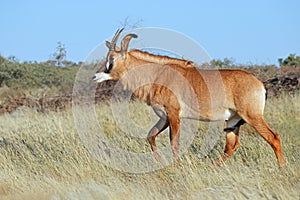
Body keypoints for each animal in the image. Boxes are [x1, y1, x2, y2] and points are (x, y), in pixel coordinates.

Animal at [92, 28, 284, 168]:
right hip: (232, 121)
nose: (95, 76)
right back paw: (212, 168)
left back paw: (281, 170)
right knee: (231, 146)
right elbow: (150, 136)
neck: (157, 74)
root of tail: (259, 84)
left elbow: (174, 143)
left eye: (111, 59)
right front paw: (162, 163)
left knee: (273, 137)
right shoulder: (164, 117)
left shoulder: (174, 114)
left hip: (252, 116)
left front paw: (176, 167)